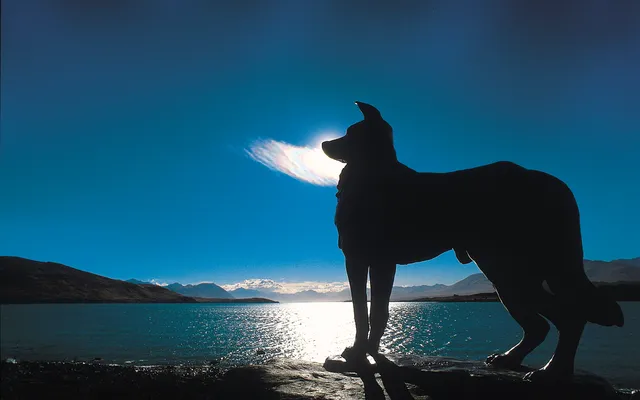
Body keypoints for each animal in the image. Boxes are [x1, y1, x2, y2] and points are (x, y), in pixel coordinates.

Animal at [322, 101, 624, 382]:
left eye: (350, 133)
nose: (324, 143)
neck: (372, 173)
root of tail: (554, 185)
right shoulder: (367, 262)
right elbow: (368, 312)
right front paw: (364, 353)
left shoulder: (372, 261)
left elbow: (370, 312)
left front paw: (361, 355)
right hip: (507, 277)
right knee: (541, 325)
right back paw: (510, 359)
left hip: (514, 273)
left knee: (569, 317)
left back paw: (552, 371)